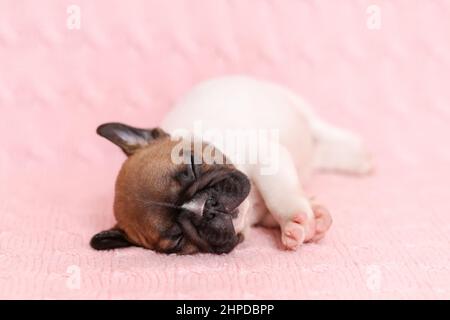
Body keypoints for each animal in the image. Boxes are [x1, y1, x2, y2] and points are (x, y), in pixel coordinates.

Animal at [90, 75, 372, 255]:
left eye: (192, 164)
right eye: (178, 239)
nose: (207, 208)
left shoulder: (267, 156)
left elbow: (278, 192)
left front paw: (294, 215)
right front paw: (309, 218)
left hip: (296, 104)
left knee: (323, 130)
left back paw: (359, 157)